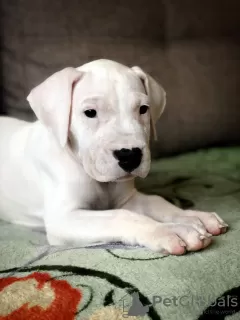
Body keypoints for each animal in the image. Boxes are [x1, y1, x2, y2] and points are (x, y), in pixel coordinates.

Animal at [0, 59, 228, 252]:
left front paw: (192, 216)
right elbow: (122, 217)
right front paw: (169, 230)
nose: (130, 155)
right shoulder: (64, 219)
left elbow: (156, 201)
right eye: (90, 112)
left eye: (143, 109)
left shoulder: (128, 199)